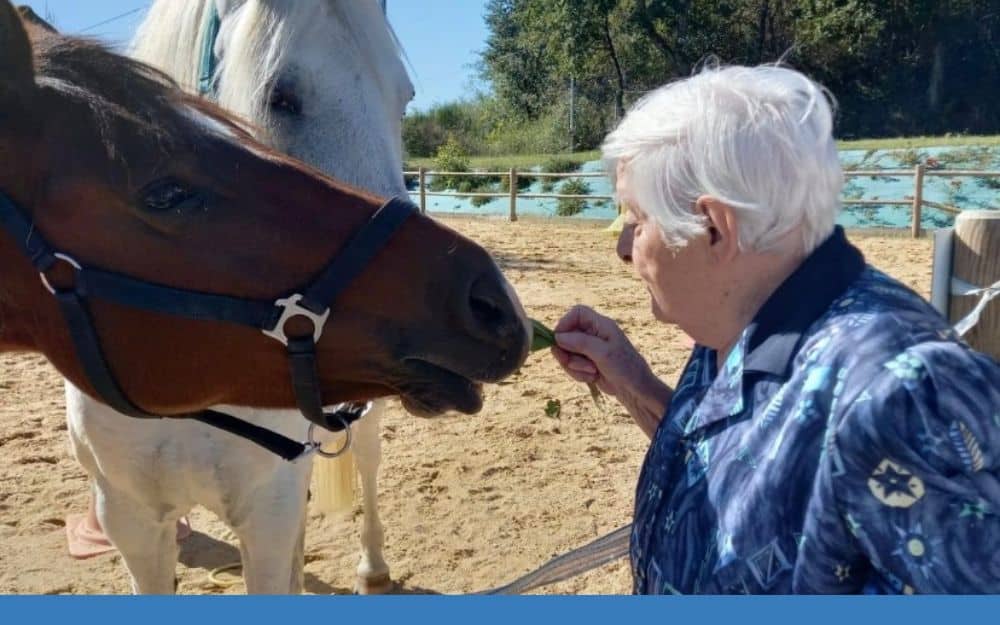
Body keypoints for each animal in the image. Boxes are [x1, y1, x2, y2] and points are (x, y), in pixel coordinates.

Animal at [66, 0, 412, 596]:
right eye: (281, 97)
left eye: (404, 99)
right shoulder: (132, 521)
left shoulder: (266, 510)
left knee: (367, 461)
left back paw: (373, 567)